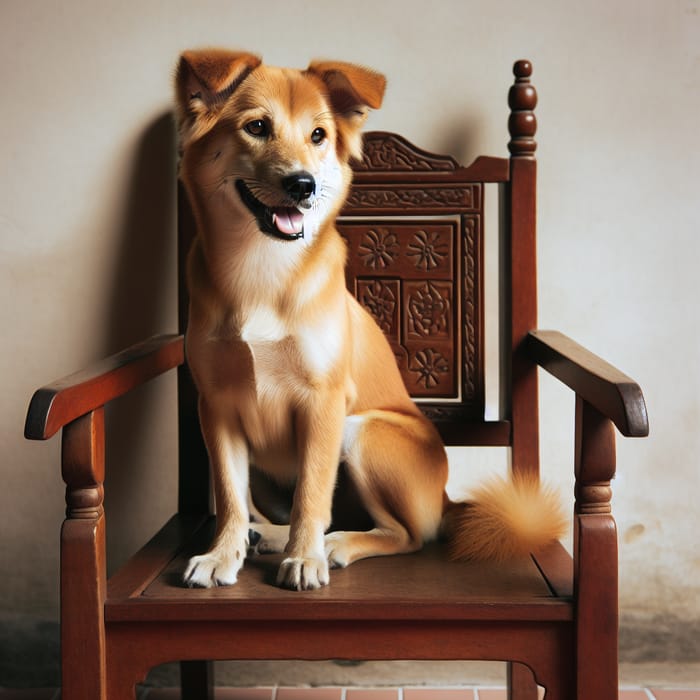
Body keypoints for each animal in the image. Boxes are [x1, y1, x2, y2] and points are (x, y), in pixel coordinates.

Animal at [174, 47, 564, 592]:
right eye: (256, 126)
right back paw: (267, 535)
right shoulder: (217, 406)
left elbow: (312, 493)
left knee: (405, 535)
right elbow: (232, 495)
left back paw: (334, 547)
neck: (260, 272)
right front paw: (222, 553)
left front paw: (305, 559)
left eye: (318, 135)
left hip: (364, 432)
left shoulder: (323, 402)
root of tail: (446, 501)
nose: (303, 185)